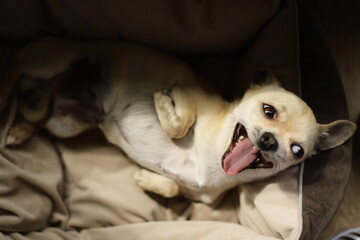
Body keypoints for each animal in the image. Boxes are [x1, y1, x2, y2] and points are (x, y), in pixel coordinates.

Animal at [5, 38, 358, 203]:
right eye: (268, 111)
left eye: (297, 150)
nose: (269, 140)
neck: (212, 162)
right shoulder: (187, 92)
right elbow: (182, 121)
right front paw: (162, 102)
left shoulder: (196, 195)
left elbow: (174, 188)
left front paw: (144, 179)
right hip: (48, 64)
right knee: (15, 72)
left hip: (66, 124)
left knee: (39, 113)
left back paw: (20, 130)